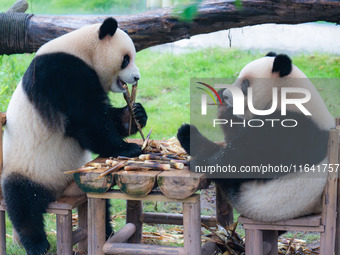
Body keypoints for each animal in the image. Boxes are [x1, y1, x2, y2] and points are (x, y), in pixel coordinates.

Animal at [2, 17, 147, 255]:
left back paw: (108, 232)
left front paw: (136, 114)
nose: (137, 77)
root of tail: (56, 194)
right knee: (21, 201)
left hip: (80, 181)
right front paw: (127, 148)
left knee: (101, 205)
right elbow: (87, 120)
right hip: (25, 167)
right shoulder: (63, 73)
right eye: (126, 59)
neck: (82, 50)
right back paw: (37, 244)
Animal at [178, 52, 334, 223]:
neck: (287, 95)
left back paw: (192, 144)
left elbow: (245, 158)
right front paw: (223, 104)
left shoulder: (291, 130)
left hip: (255, 198)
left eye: (245, 84)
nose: (226, 96)